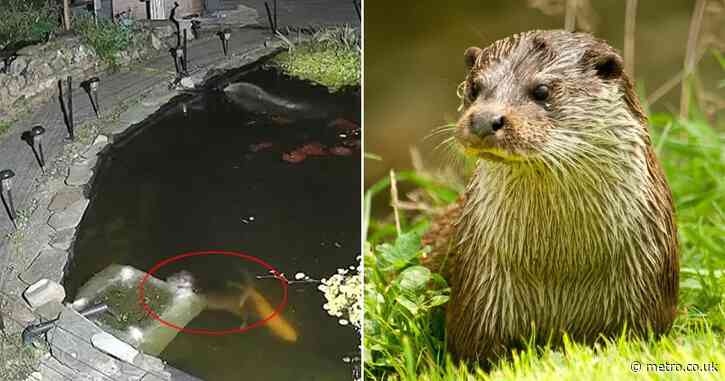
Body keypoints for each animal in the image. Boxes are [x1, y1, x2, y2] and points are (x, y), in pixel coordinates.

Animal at [422, 29, 676, 362]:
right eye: (474, 88)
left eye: (541, 90)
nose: (484, 120)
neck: (560, 267)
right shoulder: (477, 294)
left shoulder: (649, 285)